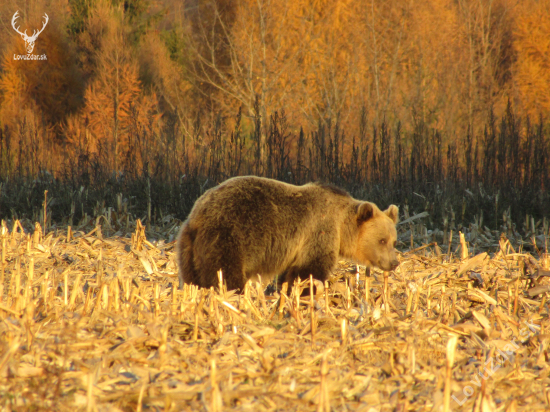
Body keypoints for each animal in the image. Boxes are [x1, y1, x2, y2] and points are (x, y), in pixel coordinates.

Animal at [178, 175, 402, 292]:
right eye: (382, 240)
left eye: (394, 241)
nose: (394, 263)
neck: (342, 225)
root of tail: (199, 214)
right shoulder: (319, 231)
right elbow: (310, 269)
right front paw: (308, 291)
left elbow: (289, 274)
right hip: (228, 236)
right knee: (225, 273)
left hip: (188, 247)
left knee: (192, 277)